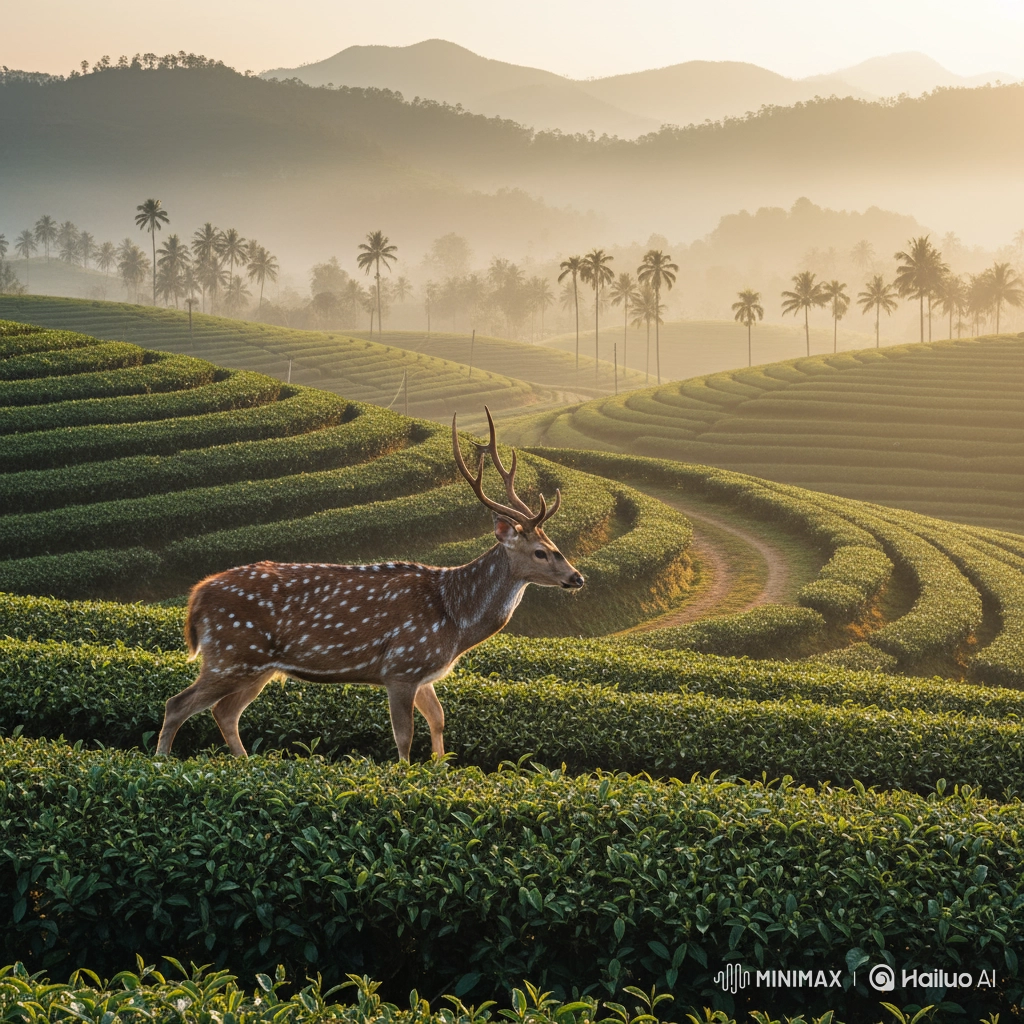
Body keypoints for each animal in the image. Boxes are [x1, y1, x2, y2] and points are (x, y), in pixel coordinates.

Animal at [156, 408, 585, 761]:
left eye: (555, 545)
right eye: (541, 552)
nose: (577, 577)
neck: (455, 619)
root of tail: (197, 595)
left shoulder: (422, 672)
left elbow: (439, 719)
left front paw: (440, 769)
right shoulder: (402, 664)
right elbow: (404, 735)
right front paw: (404, 774)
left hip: (256, 665)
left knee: (223, 712)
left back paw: (245, 764)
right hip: (231, 652)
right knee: (178, 703)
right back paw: (162, 762)